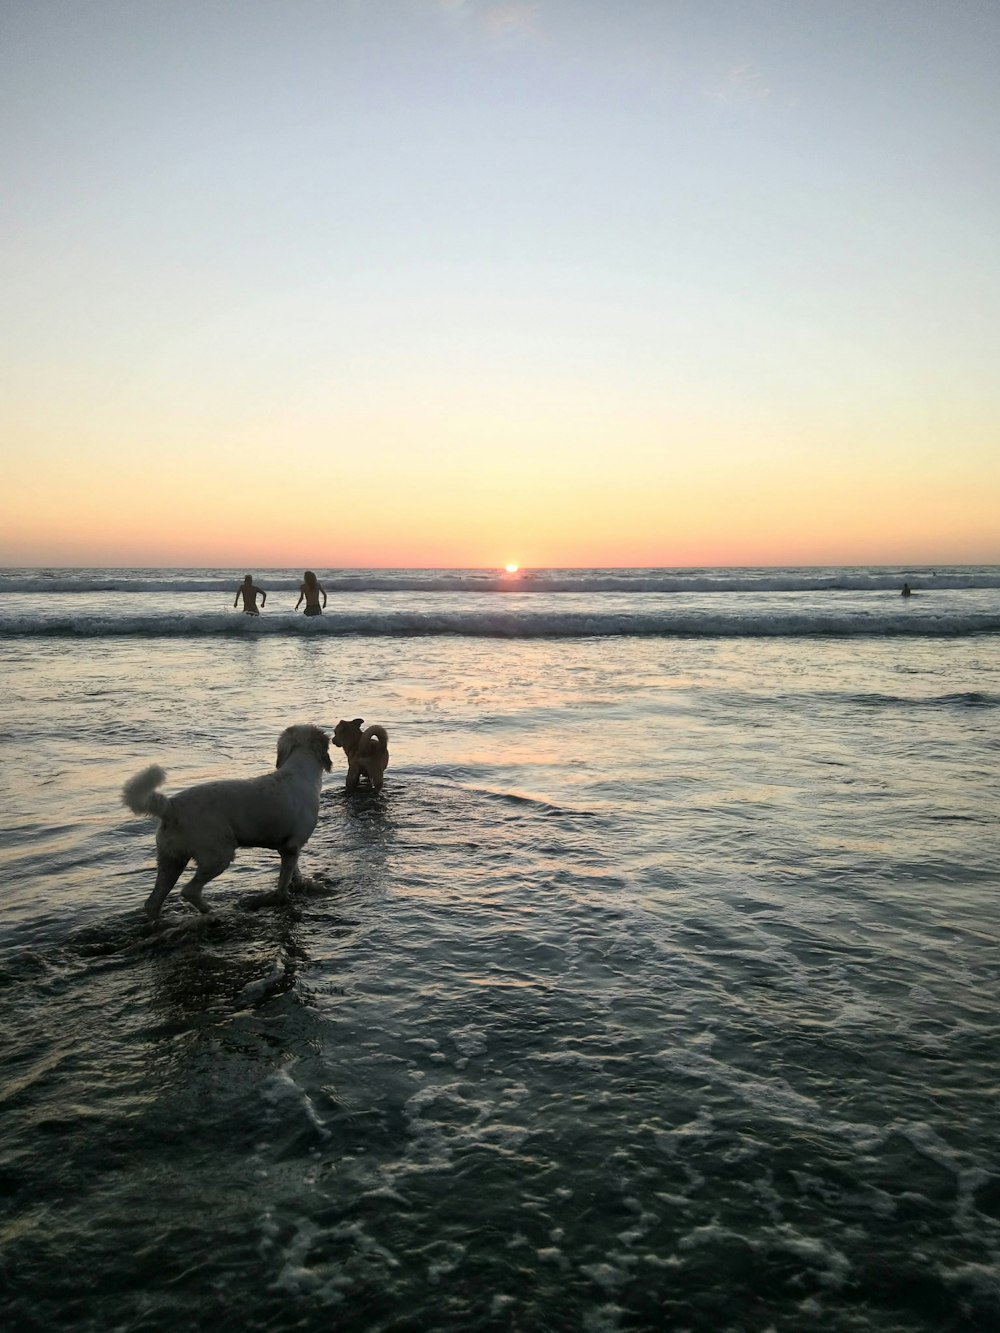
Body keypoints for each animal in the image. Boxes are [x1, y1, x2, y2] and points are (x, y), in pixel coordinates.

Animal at [122, 725, 333, 922]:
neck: (300, 770)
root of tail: (171, 806)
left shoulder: (287, 847)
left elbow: (294, 872)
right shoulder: (291, 846)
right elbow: (283, 882)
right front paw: (283, 898)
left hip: (171, 861)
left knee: (153, 902)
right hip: (217, 856)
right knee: (189, 890)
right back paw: (212, 913)